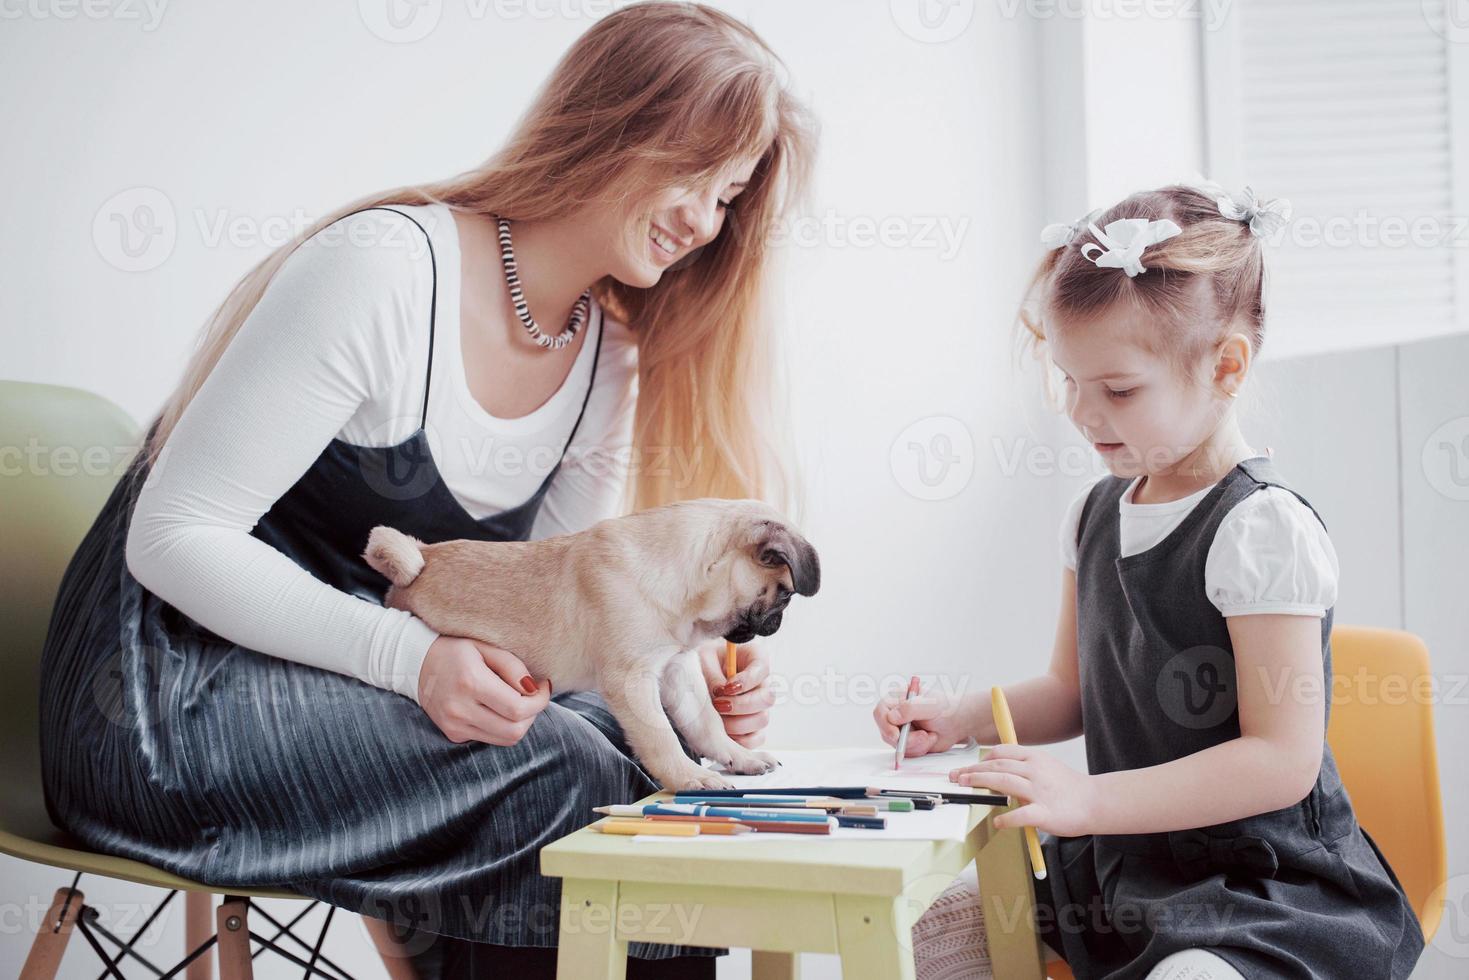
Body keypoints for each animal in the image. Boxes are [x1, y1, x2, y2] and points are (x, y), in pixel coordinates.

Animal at [355, 502, 816, 793]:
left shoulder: (677, 670)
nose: (775, 625)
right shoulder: (631, 681)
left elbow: (706, 723)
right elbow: (661, 736)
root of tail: (421, 558)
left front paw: (737, 756)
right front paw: (688, 777)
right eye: (784, 597)